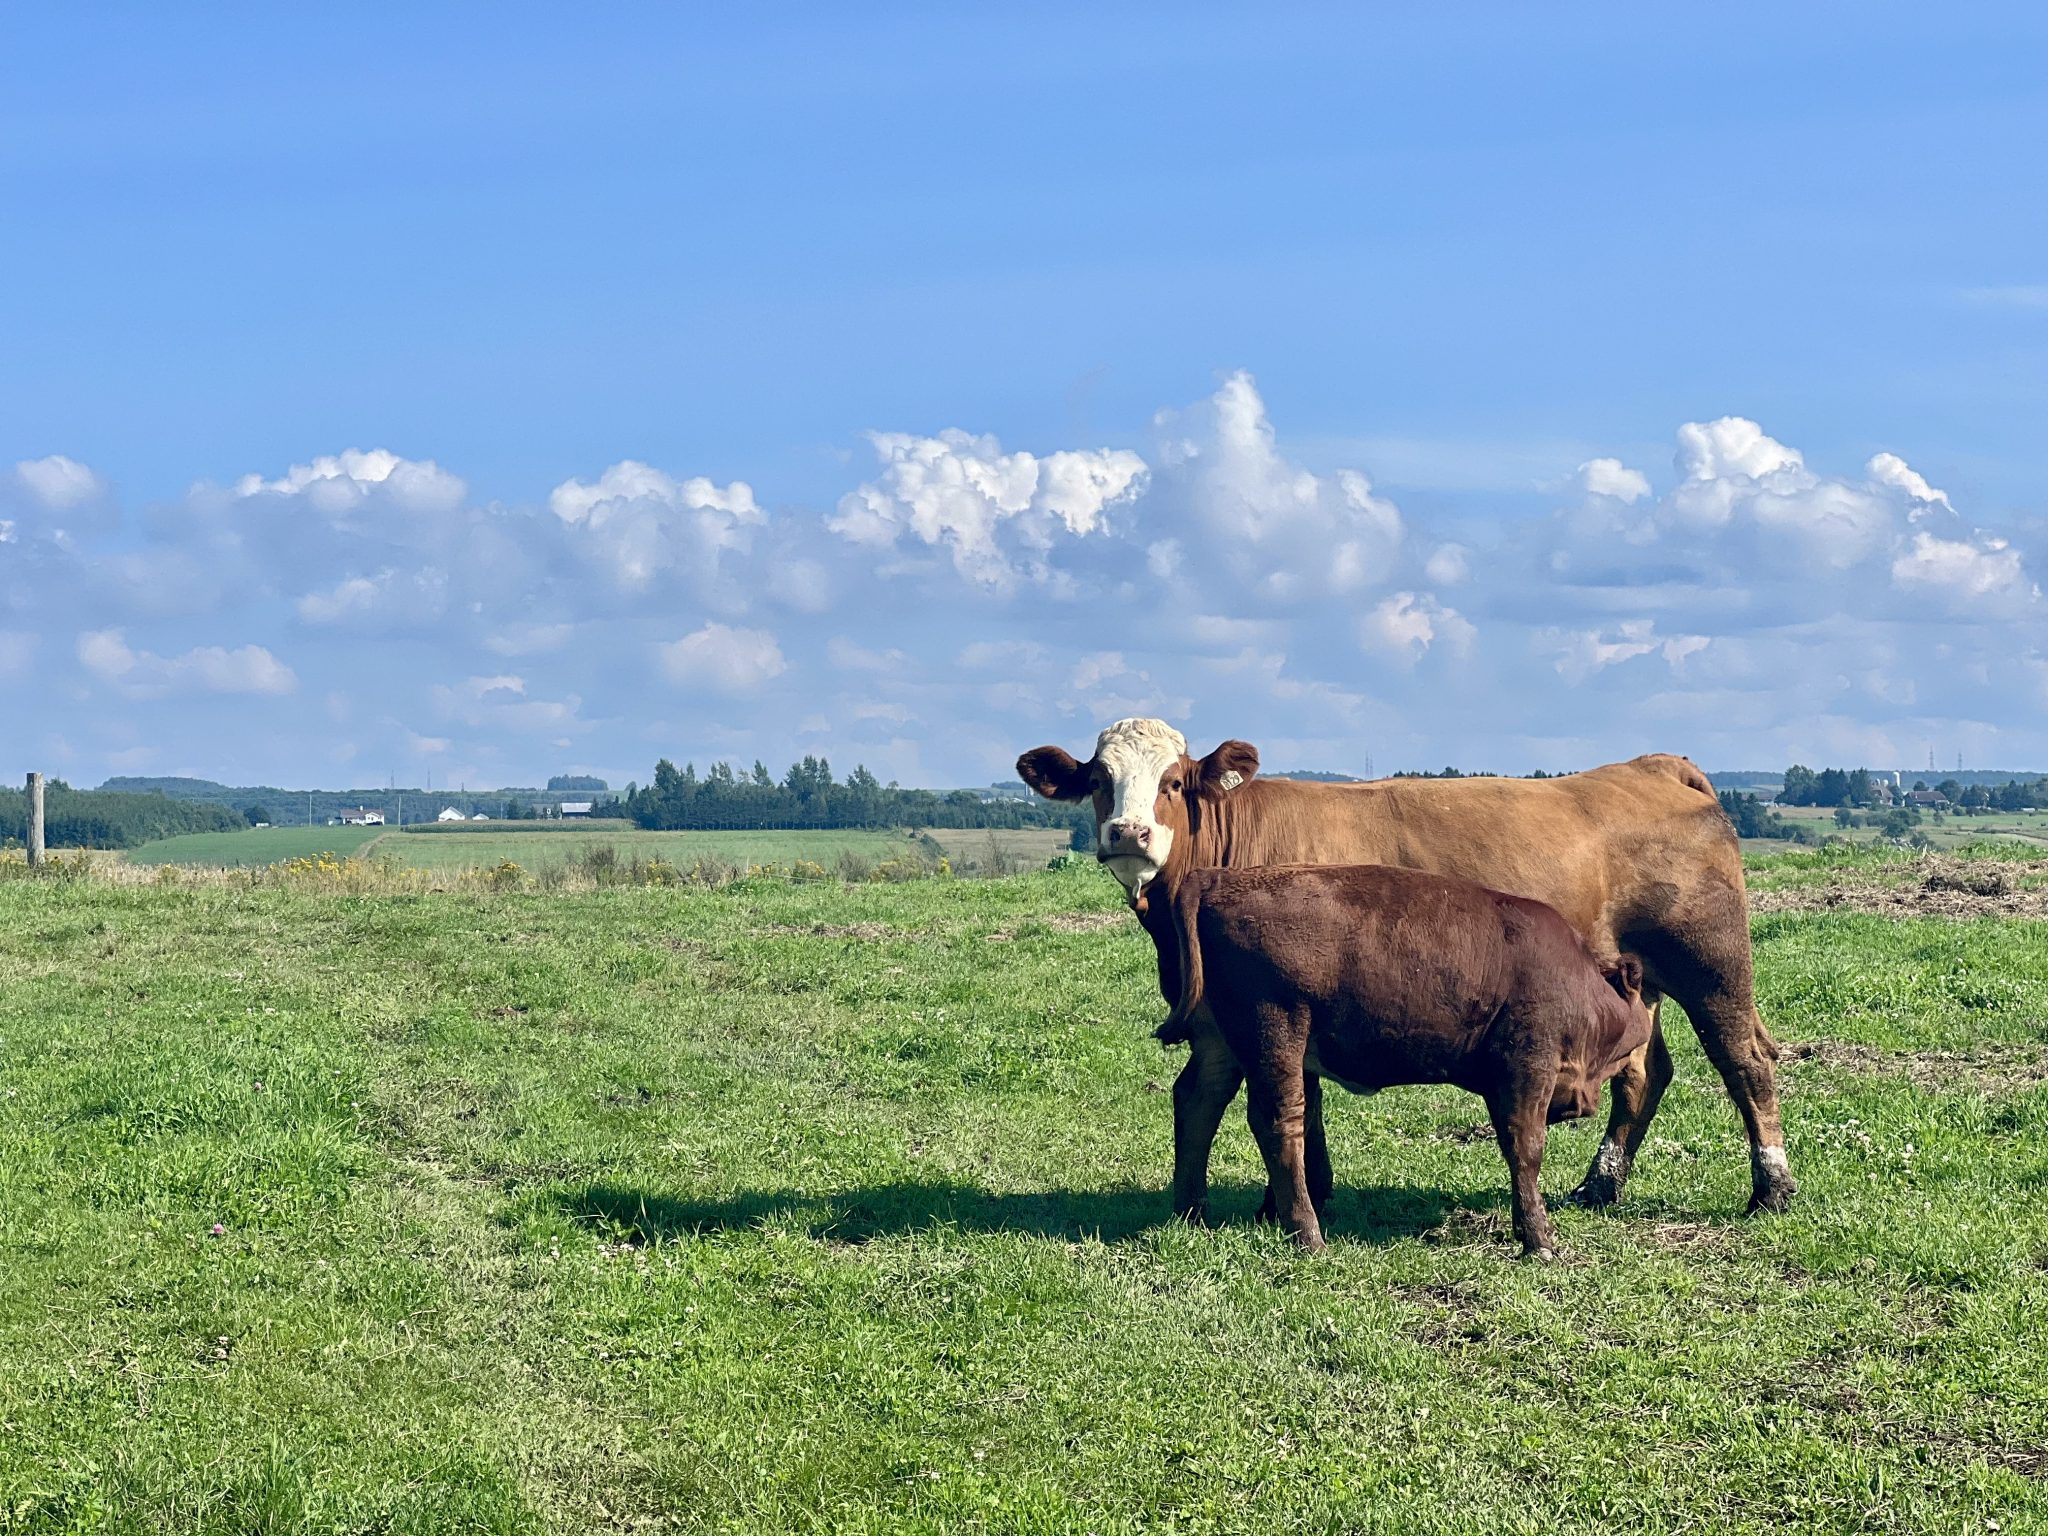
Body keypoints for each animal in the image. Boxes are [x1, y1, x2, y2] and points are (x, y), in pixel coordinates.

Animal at [1147, 862, 1656, 1257]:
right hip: (1276, 1032)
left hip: (1220, 1044)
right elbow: (1525, 1149)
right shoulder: (1527, 1068)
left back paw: (1191, 1213)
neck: (1580, 981)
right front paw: (1539, 1240)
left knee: (1197, 1102)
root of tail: (1218, 878)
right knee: (1279, 1122)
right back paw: (1308, 1235)